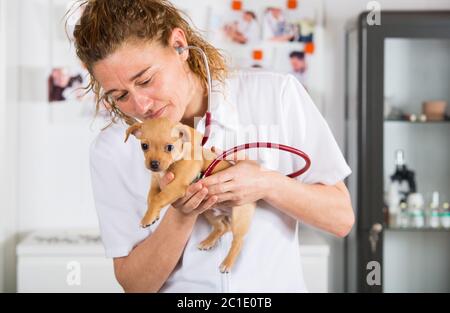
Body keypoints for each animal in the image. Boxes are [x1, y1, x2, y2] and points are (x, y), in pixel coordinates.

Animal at [125, 116, 255, 272]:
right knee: (222, 227)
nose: (154, 164)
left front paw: (147, 219)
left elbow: (158, 198)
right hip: (209, 212)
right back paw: (208, 242)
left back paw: (227, 263)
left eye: (170, 147)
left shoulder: (176, 185)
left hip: (239, 217)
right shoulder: (155, 185)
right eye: (144, 146)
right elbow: (151, 199)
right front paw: (152, 215)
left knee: (238, 241)